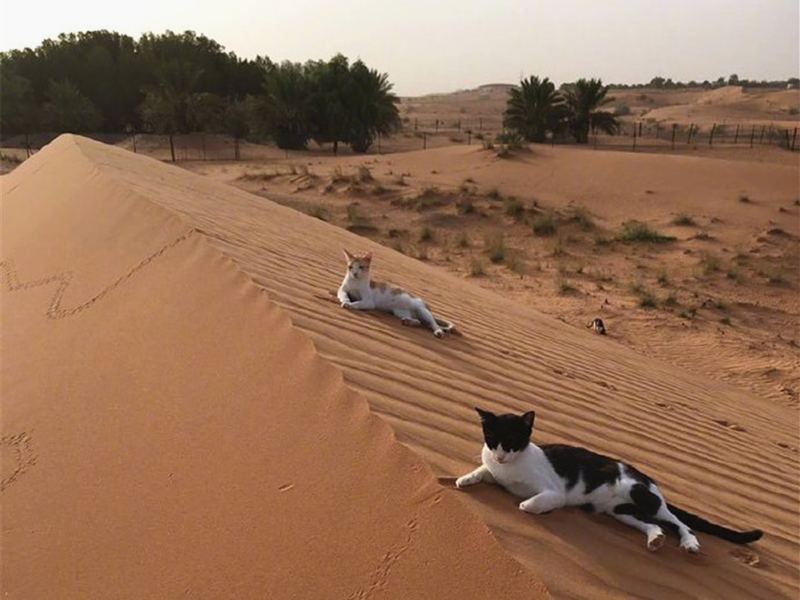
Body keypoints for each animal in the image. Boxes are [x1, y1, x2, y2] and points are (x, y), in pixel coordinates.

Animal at [456, 408, 764, 552]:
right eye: (494, 441)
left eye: (514, 442)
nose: (501, 456)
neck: (510, 471)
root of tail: (648, 478)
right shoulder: (494, 470)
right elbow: (482, 471)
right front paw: (465, 479)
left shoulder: (555, 492)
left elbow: (530, 503)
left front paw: (528, 504)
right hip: (622, 512)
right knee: (652, 524)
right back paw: (655, 540)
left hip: (641, 493)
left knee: (679, 522)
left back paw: (689, 543)